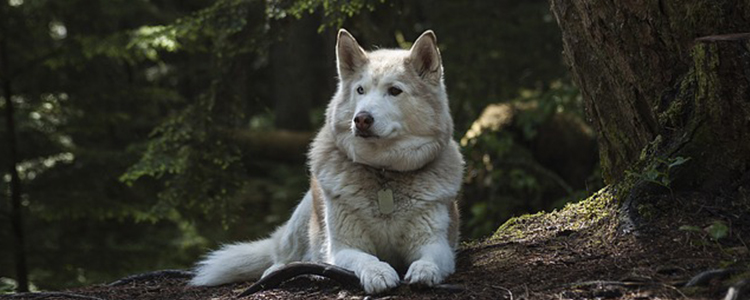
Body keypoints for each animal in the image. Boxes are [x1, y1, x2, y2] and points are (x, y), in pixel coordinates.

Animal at [191, 28, 464, 296]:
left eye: (395, 91)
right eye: (360, 90)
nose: (361, 119)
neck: (383, 172)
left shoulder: (436, 243)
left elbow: (429, 259)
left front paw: (424, 271)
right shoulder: (343, 248)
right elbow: (366, 259)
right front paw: (378, 273)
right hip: (303, 216)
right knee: (284, 257)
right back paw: (285, 270)